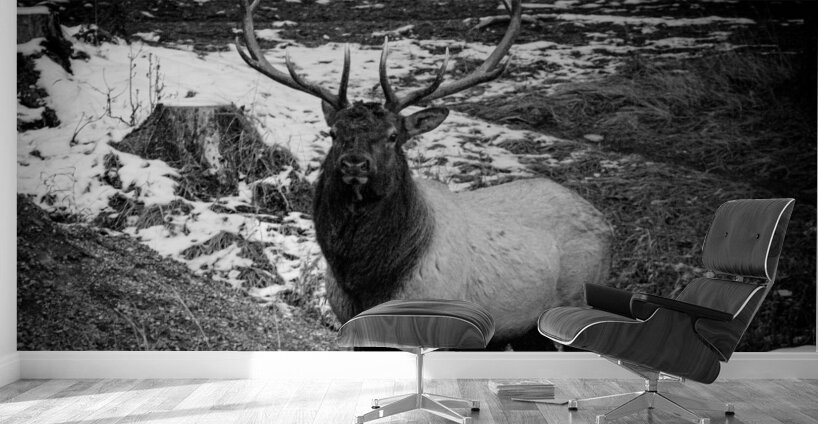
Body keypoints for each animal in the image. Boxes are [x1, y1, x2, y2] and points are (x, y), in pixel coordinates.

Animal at [236, 0, 613, 347]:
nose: (354, 163)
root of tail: (605, 222)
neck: (370, 286)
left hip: (576, 297)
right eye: (333, 132)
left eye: (393, 135)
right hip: (527, 329)